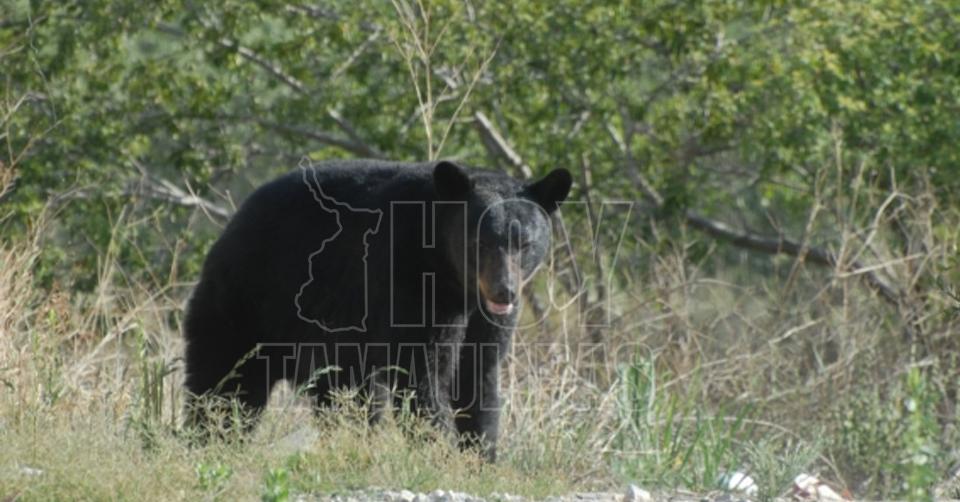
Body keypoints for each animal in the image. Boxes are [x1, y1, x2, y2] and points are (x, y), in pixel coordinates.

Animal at [183, 158, 572, 461]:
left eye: (525, 243)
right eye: (481, 241)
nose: (504, 291)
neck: (452, 276)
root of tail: (233, 222)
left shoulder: (485, 318)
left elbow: (478, 374)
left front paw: (480, 455)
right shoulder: (405, 281)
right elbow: (421, 373)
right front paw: (440, 451)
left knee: (344, 396)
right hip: (249, 303)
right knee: (226, 383)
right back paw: (211, 441)